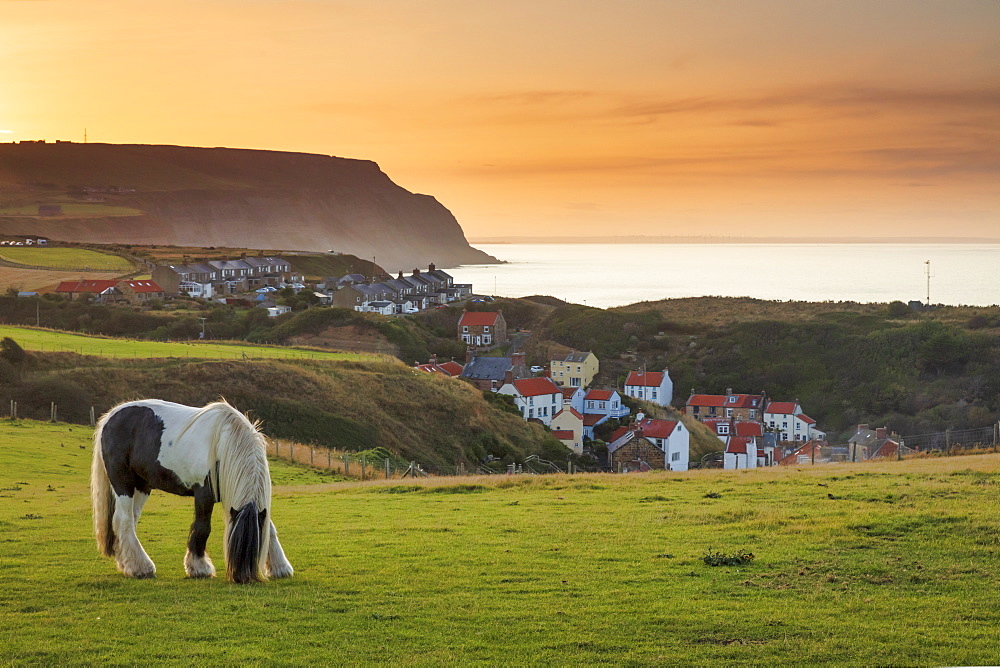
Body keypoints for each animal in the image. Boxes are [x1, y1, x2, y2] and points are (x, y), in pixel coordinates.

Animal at [90, 400, 294, 580]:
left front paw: (280, 567)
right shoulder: (204, 493)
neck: (223, 444)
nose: (242, 578)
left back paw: (126, 564)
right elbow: (203, 527)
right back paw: (140, 568)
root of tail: (111, 417)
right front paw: (199, 567)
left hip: (141, 486)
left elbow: (269, 527)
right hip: (123, 484)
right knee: (123, 520)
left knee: (127, 521)